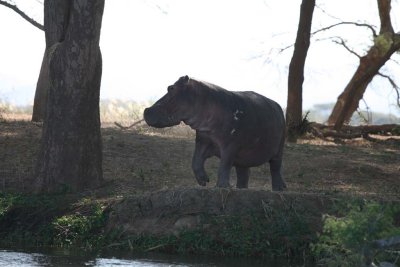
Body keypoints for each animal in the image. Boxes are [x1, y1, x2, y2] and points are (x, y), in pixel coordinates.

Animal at [144, 76, 288, 192]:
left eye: (171, 88)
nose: (146, 110)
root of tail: (277, 105)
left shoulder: (230, 146)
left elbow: (224, 165)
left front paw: (222, 187)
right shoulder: (203, 140)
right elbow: (195, 161)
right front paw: (204, 181)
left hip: (279, 148)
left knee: (275, 168)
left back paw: (279, 189)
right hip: (243, 157)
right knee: (243, 173)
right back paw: (241, 189)